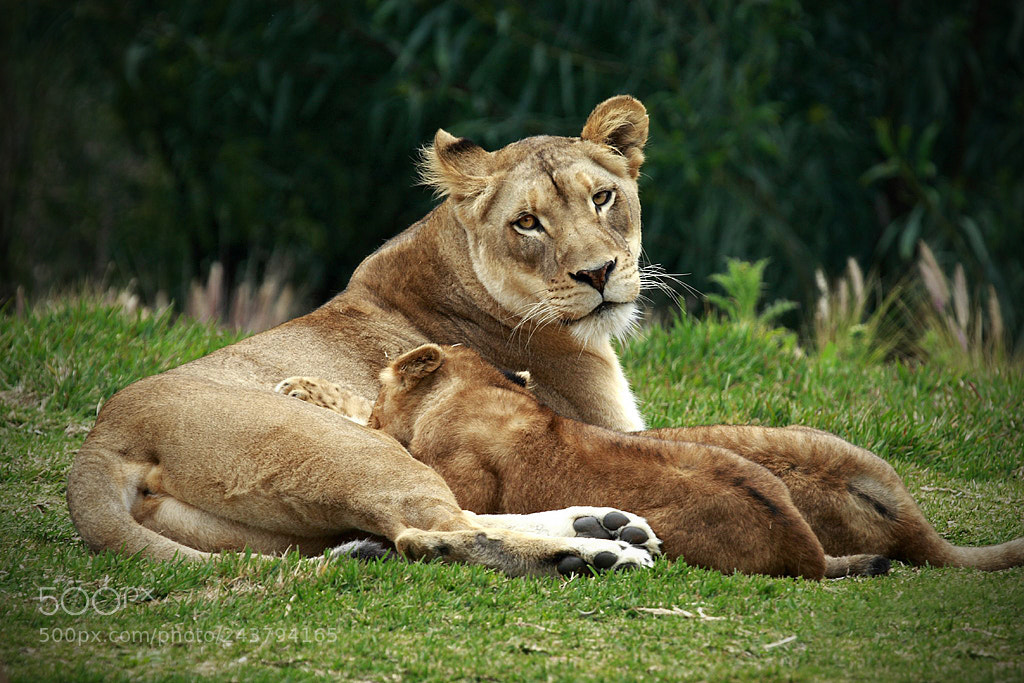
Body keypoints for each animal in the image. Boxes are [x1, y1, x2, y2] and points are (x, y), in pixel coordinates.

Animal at [66, 95, 669, 577]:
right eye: (527, 223)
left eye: (602, 198)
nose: (598, 273)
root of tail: (102, 437)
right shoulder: (605, 433)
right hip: (359, 452)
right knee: (430, 533)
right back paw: (596, 552)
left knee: (449, 518)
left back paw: (602, 524)